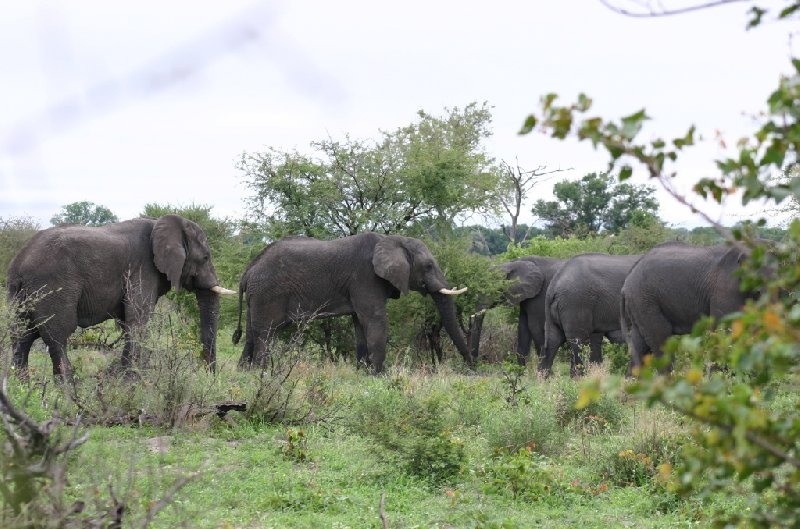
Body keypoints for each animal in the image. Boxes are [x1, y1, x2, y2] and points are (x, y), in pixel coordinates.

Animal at [7, 214, 238, 380]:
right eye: (205, 257)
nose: (208, 377)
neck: (162, 223)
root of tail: (19, 263)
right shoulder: (143, 268)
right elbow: (138, 320)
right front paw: (130, 383)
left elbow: (129, 322)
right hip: (53, 285)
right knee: (58, 336)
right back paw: (67, 393)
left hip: (18, 293)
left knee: (22, 337)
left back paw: (22, 386)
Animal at [231, 233, 468, 374]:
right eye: (428, 266)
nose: (471, 368)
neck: (392, 240)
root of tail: (249, 270)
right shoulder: (365, 277)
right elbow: (374, 320)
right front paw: (380, 376)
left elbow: (360, 325)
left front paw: (362, 372)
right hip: (267, 293)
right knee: (265, 334)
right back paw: (260, 373)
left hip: (257, 297)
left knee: (251, 334)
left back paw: (244, 372)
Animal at [620, 241, 752, 370]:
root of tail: (627, 280)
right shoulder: (725, 287)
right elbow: (725, 331)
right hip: (645, 299)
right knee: (661, 337)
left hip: (640, 303)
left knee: (640, 345)